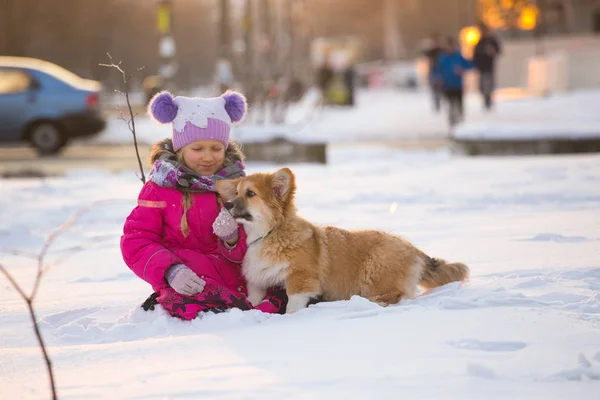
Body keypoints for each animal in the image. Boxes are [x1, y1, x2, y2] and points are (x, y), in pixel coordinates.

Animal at [216, 167, 468, 314]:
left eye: (250, 194)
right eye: (236, 193)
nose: (226, 205)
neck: (270, 233)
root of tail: (413, 249)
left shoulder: (301, 280)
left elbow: (293, 306)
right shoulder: (257, 282)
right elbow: (253, 300)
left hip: (374, 270)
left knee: (391, 295)